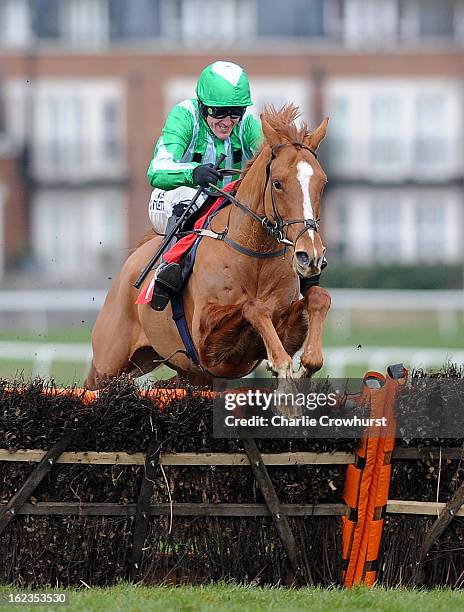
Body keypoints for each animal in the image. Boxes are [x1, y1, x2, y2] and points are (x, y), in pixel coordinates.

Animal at [83, 104, 330, 390]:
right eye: (278, 183)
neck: (254, 256)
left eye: (322, 182)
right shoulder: (205, 342)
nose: (310, 256)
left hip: (190, 373)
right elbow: (253, 306)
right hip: (108, 365)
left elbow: (318, 297)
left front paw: (304, 365)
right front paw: (281, 365)